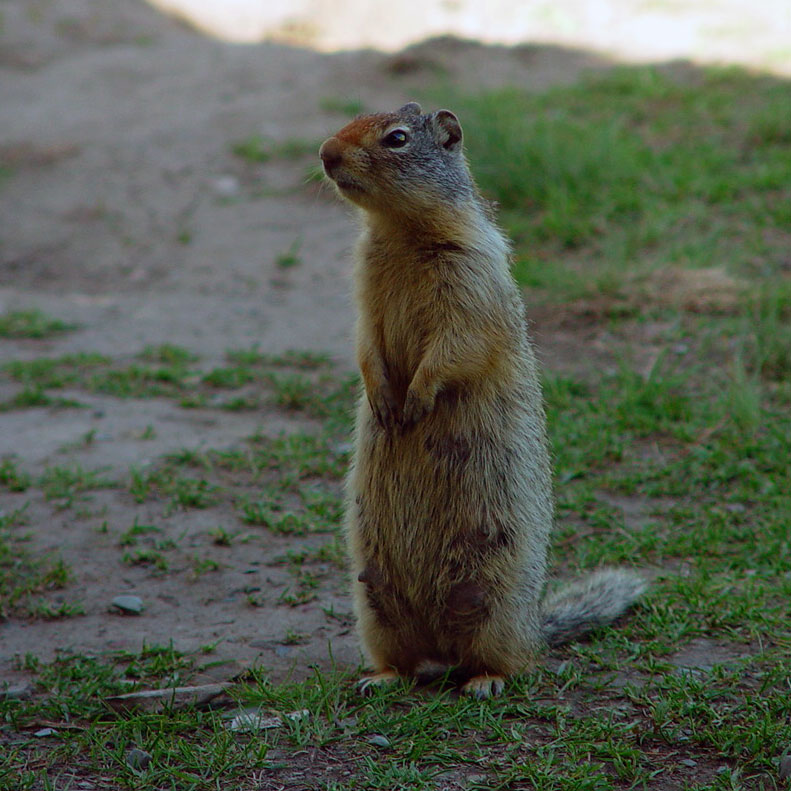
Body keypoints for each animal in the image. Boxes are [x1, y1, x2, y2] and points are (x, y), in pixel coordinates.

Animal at [318, 100, 644, 700]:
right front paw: (383, 400)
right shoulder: (364, 286)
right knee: (405, 659)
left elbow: (456, 346)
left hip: (496, 597)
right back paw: (380, 678)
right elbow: (365, 344)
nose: (326, 152)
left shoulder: (470, 282)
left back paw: (485, 682)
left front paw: (415, 401)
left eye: (397, 138)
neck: (400, 231)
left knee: (510, 660)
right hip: (374, 603)